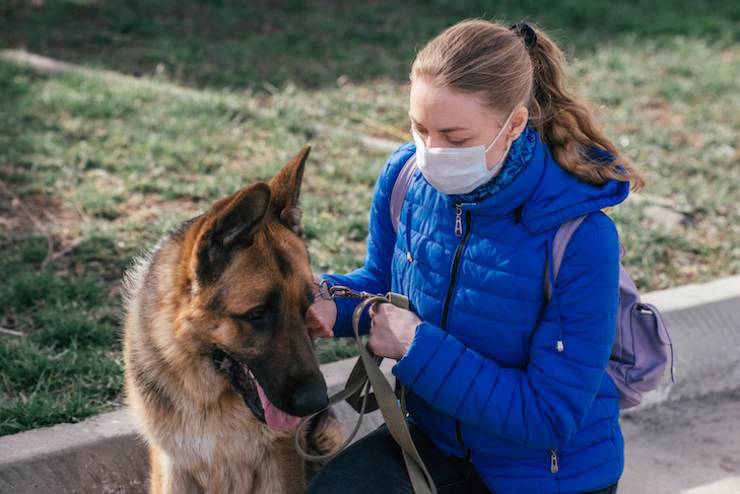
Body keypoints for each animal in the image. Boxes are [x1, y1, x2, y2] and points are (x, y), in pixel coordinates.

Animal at [122, 146, 344, 493]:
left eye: (307, 307)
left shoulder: (280, 463)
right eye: (257, 314)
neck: (209, 398)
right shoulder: (172, 467)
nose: (315, 401)